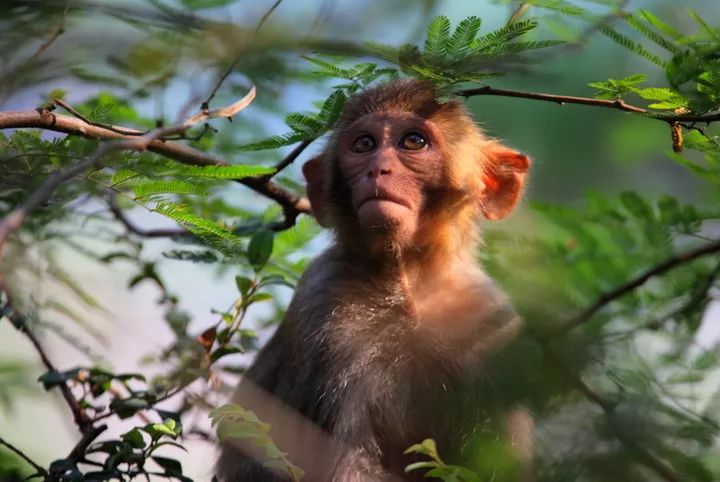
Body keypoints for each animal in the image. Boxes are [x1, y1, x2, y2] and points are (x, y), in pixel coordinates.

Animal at [217, 80, 532, 482]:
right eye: (364, 145)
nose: (378, 169)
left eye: (412, 141)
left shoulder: (494, 326)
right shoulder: (322, 309)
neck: (407, 286)